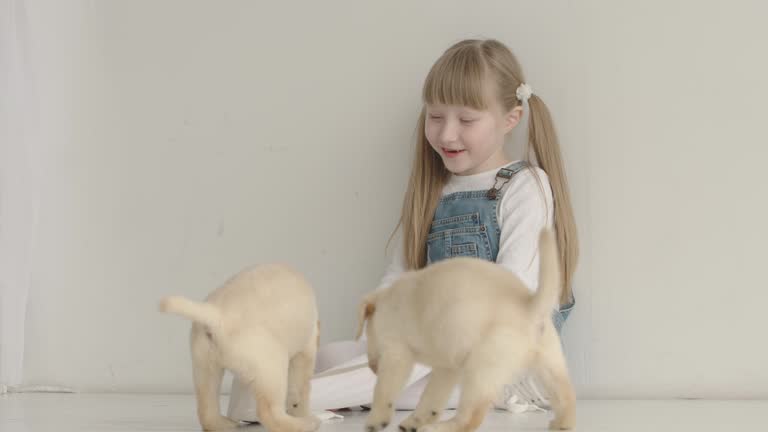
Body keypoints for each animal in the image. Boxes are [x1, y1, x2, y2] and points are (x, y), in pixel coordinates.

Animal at [160, 264, 320, 432]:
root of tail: (218, 315)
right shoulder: (306, 350)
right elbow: (301, 388)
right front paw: (301, 413)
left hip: (204, 366)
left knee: (206, 408)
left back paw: (223, 424)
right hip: (271, 365)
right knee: (270, 413)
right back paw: (304, 424)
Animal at [356, 228, 572, 430]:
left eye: (367, 336)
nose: (372, 368)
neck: (385, 305)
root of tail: (530, 306)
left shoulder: (396, 356)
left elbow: (383, 391)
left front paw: (375, 421)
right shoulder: (447, 369)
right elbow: (431, 399)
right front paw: (414, 421)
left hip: (480, 372)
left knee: (469, 418)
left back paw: (438, 428)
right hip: (550, 366)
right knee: (566, 397)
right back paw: (562, 423)